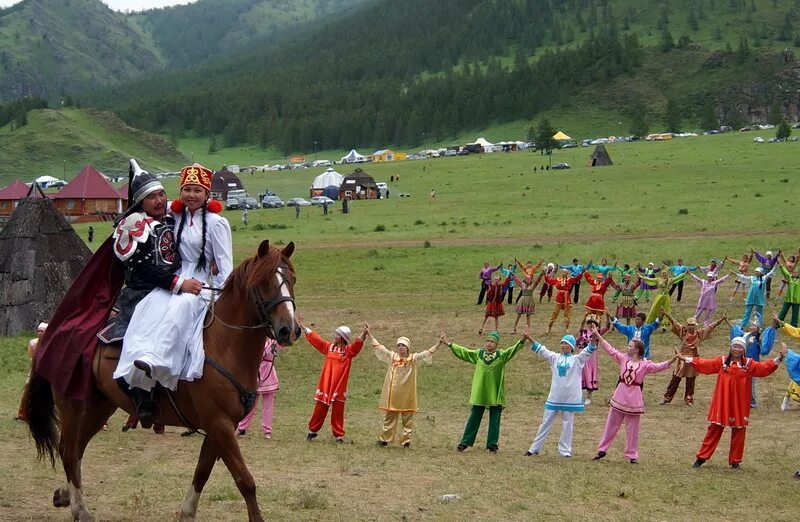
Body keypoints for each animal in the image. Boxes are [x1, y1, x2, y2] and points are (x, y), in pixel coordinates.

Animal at [25, 238, 302, 516]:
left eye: (292, 279)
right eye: (263, 282)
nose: (289, 330)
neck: (224, 346)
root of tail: (55, 329)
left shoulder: (222, 426)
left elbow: (202, 472)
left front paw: (186, 512)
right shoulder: (219, 423)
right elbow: (245, 481)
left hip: (100, 405)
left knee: (78, 447)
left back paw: (65, 495)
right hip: (70, 403)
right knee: (69, 450)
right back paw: (80, 509)